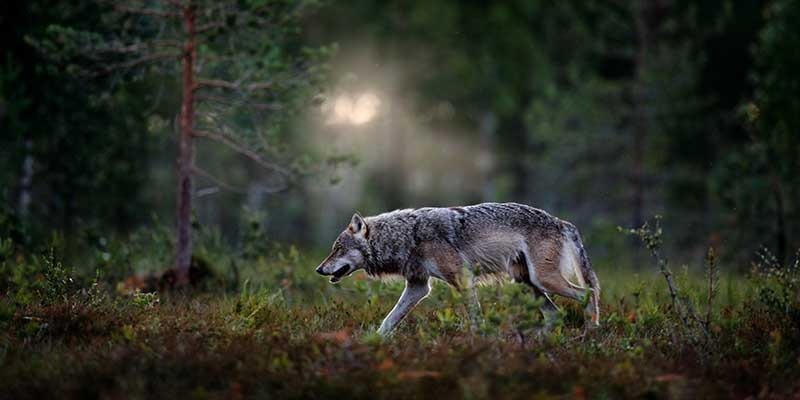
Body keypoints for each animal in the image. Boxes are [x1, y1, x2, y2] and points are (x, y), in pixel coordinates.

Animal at [312, 202, 600, 336]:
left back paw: (591, 331)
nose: (318, 269)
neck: (408, 236)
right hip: (527, 283)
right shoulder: (418, 286)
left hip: (543, 280)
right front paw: (372, 342)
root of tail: (561, 221)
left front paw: (479, 341)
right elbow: (389, 320)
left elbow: (475, 318)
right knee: (555, 314)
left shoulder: (462, 279)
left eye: (337, 249)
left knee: (588, 293)